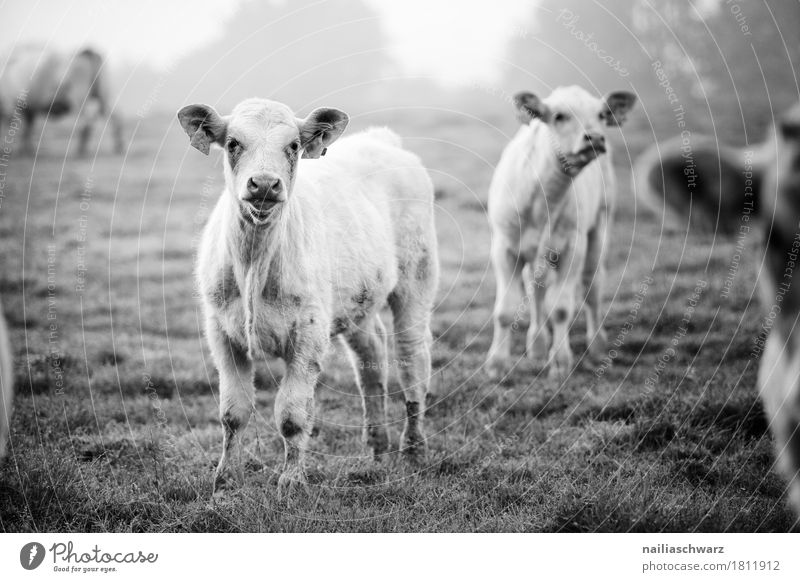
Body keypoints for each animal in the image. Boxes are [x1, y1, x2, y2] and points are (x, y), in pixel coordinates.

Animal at [177, 98, 438, 496]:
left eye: (294, 146)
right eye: (233, 143)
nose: (265, 184)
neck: (254, 264)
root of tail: (382, 140)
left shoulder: (309, 336)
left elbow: (292, 415)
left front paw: (291, 480)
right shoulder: (221, 334)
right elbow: (232, 413)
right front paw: (225, 479)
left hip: (416, 283)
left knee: (413, 363)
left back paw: (414, 449)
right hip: (355, 303)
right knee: (372, 359)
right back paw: (378, 448)